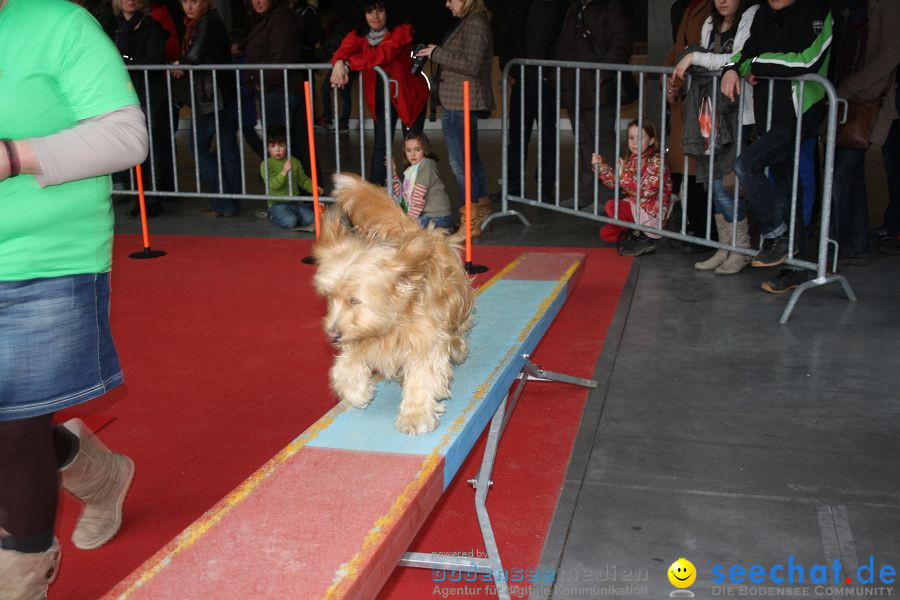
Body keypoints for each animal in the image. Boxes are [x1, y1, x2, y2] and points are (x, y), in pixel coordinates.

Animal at [312, 173, 474, 436]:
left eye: (354, 300)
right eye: (330, 297)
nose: (333, 334)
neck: (392, 323)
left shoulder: (425, 343)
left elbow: (422, 378)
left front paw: (414, 416)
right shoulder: (362, 340)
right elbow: (344, 367)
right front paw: (357, 393)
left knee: (458, 330)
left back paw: (458, 349)